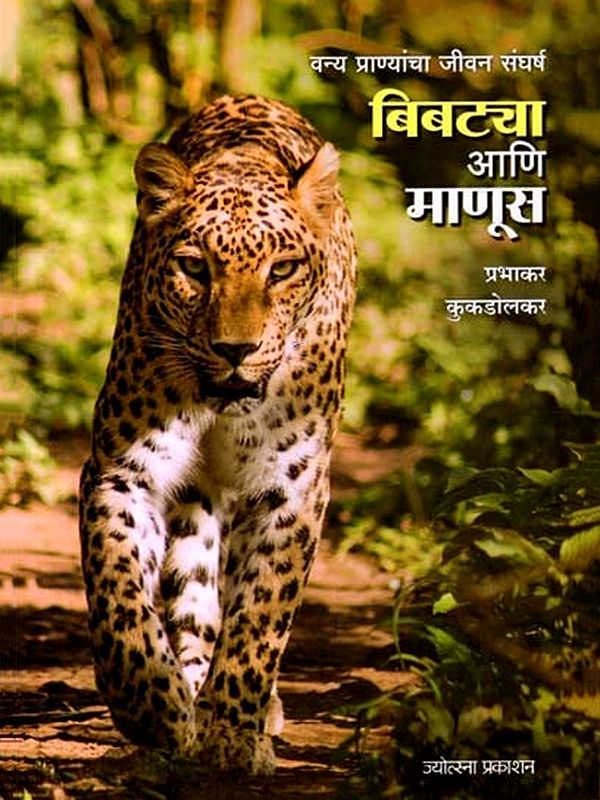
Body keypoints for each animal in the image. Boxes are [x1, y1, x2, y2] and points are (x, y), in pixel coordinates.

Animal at [79, 93, 356, 776]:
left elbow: (260, 618)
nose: (236, 350)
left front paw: (233, 734)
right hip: (195, 498)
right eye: (193, 268)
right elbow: (119, 595)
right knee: (194, 591)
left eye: (282, 270)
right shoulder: (124, 472)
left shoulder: (293, 491)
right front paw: (154, 709)